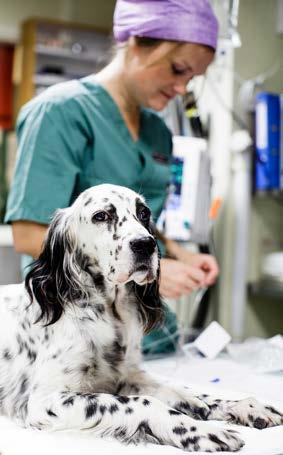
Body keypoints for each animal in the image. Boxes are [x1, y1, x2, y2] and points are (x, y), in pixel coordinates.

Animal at [0, 184, 283, 452]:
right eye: (101, 216)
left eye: (144, 213)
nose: (146, 244)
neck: (109, 312)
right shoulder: (44, 401)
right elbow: (144, 402)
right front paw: (200, 431)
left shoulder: (128, 376)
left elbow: (187, 391)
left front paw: (245, 405)